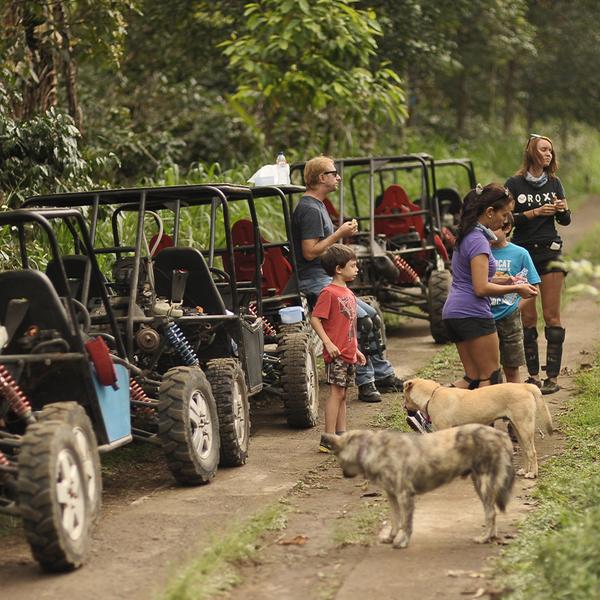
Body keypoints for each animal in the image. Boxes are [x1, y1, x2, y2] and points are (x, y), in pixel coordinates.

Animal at [326, 422, 512, 548]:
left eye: (338, 457)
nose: (343, 474)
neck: (371, 448)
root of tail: (499, 433)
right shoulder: (392, 497)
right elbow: (395, 521)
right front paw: (391, 538)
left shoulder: (405, 496)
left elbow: (406, 524)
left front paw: (402, 542)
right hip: (479, 485)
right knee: (491, 513)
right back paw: (490, 537)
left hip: (483, 484)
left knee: (491, 513)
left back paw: (484, 538)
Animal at [404, 380, 552, 478]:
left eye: (404, 396)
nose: (404, 408)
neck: (431, 396)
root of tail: (524, 386)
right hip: (517, 428)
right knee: (526, 451)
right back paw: (525, 470)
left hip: (524, 428)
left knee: (532, 452)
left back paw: (532, 473)